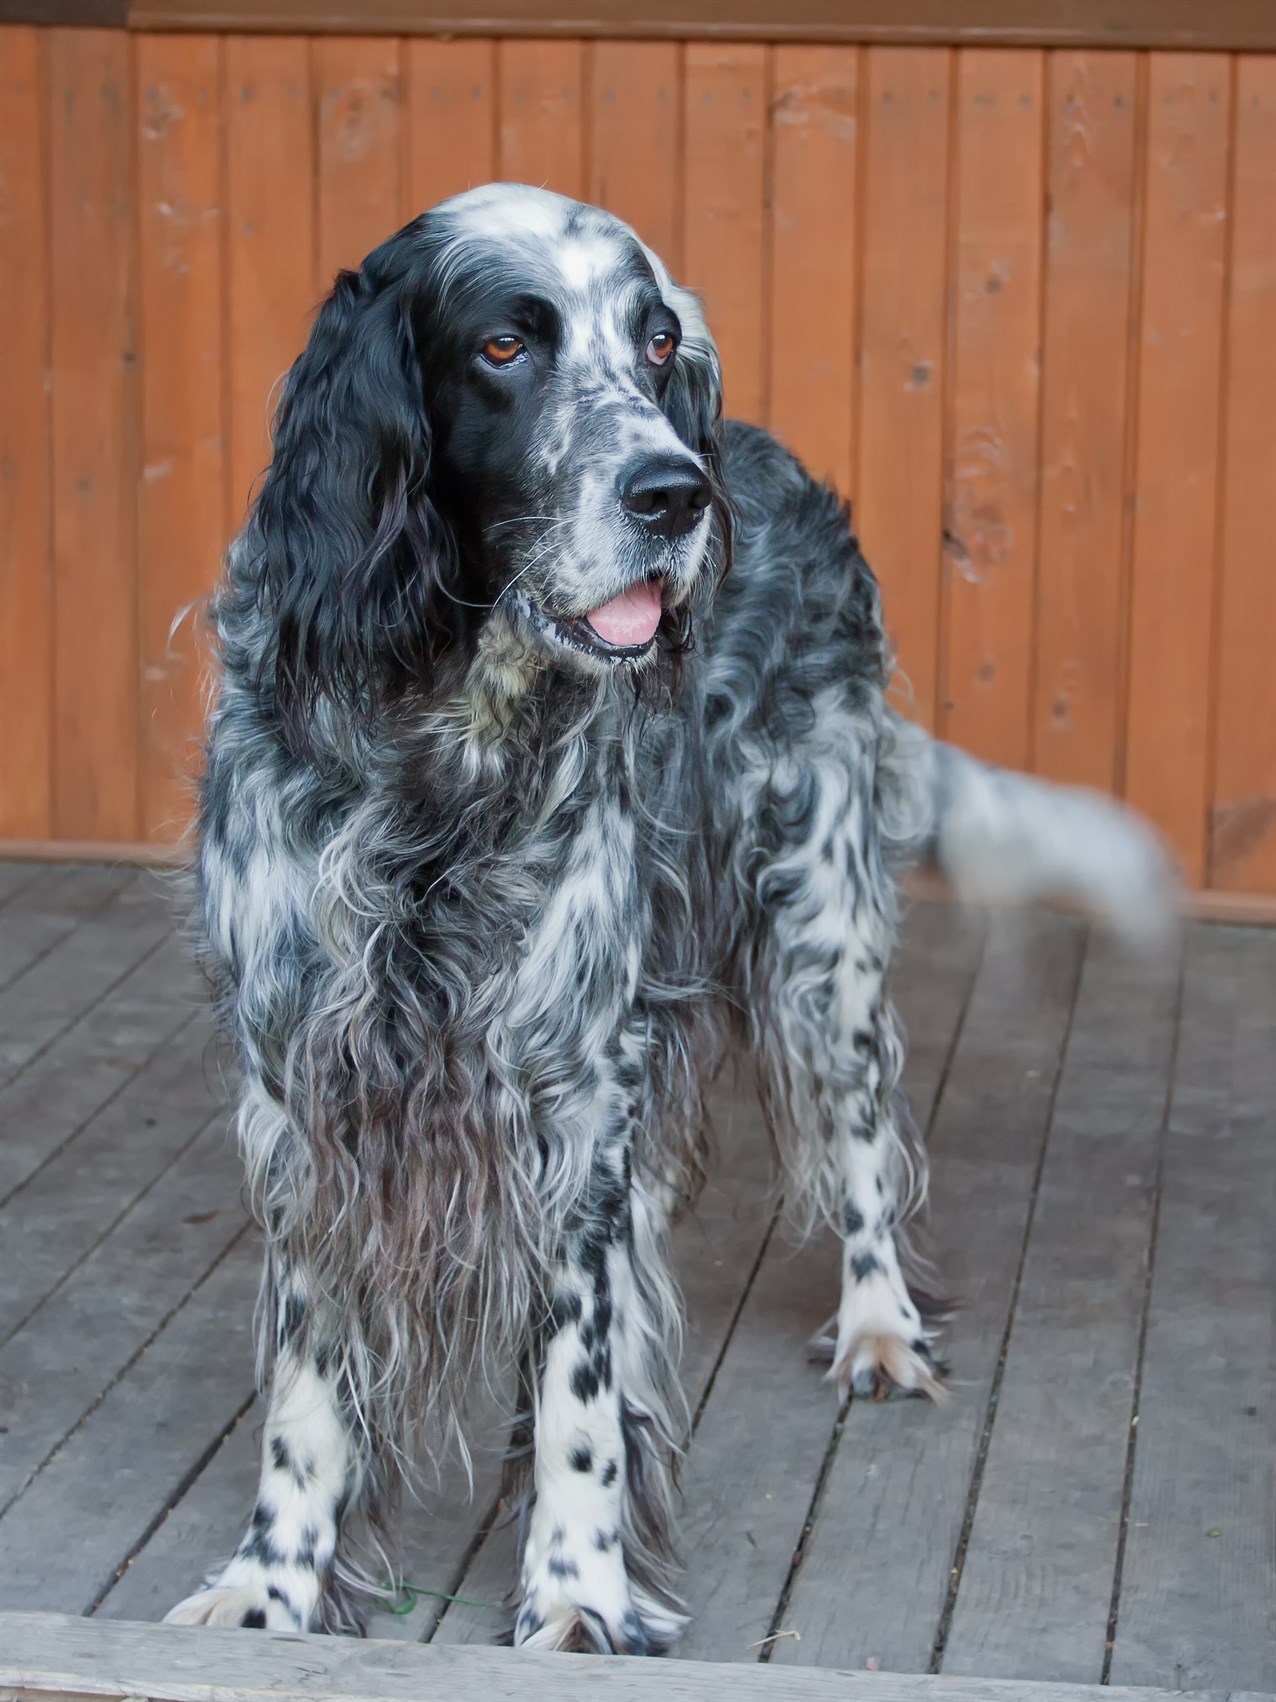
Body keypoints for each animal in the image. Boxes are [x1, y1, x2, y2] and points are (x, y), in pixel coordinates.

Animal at [170, 182, 1177, 1647]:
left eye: (652, 343)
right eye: (503, 346)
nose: (672, 492)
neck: (445, 754)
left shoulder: (580, 1081)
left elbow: (580, 1384)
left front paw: (580, 1588)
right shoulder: (305, 1075)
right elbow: (308, 1381)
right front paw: (272, 1580)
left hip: (822, 938)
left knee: (860, 1141)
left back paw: (878, 1324)